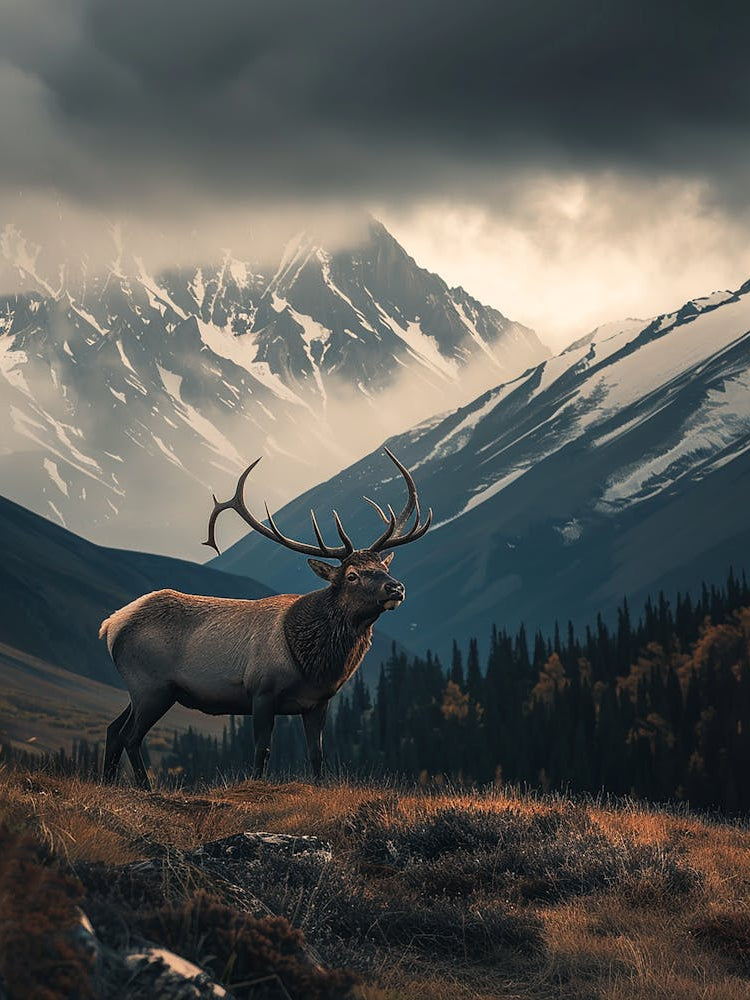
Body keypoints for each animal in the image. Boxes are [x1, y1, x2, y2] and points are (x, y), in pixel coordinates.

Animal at [98, 447, 431, 790]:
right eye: (351, 575)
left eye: (385, 567)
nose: (396, 587)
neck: (313, 663)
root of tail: (111, 626)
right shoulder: (261, 691)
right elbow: (262, 749)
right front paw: (256, 784)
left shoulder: (318, 702)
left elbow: (317, 755)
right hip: (151, 686)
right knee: (130, 736)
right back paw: (145, 786)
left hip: (144, 690)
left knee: (113, 729)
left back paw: (108, 782)